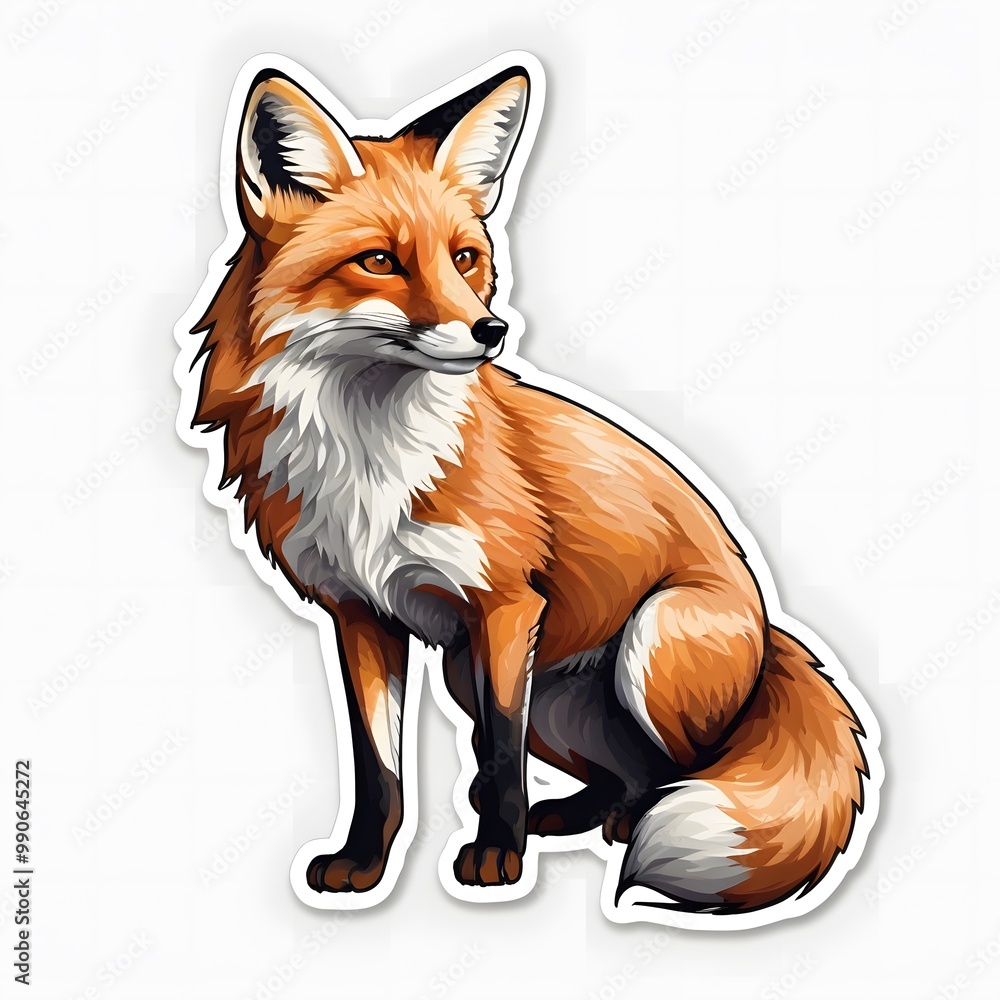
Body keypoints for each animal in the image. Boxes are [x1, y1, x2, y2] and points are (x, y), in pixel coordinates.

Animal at [177, 52, 881, 928]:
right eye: (379, 261)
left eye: (464, 258)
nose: (492, 331)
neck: (369, 454)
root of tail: (769, 629)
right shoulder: (360, 614)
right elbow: (380, 768)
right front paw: (365, 864)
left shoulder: (508, 606)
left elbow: (498, 752)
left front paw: (496, 858)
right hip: (481, 676)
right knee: (626, 772)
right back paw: (577, 816)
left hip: (652, 649)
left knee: (691, 769)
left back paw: (621, 832)